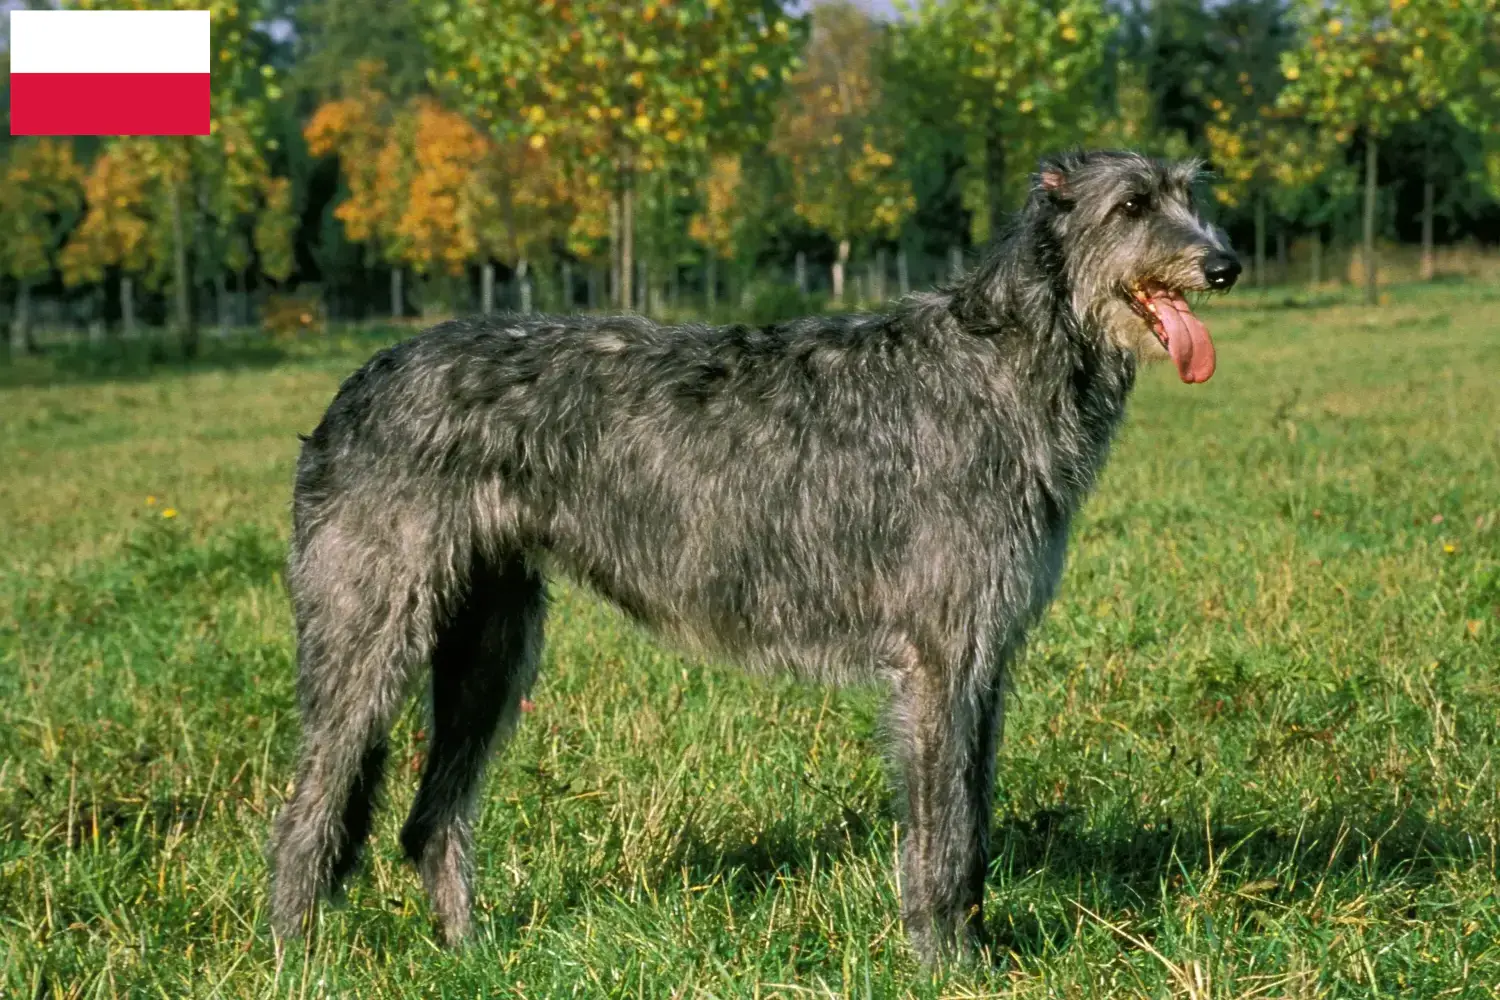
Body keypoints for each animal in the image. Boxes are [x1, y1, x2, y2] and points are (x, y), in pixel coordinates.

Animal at [270, 148, 1242, 959]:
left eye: (1190, 196)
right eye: (1131, 205)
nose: (1224, 265)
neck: (1003, 361)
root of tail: (352, 389)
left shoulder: (984, 658)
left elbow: (972, 819)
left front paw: (972, 947)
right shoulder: (938, 659)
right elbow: (942, 831)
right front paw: (948, 962)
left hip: (491, 643)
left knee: (429, 819)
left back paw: (469, 955)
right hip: (369, 629)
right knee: (309, 810)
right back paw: (298, 958)